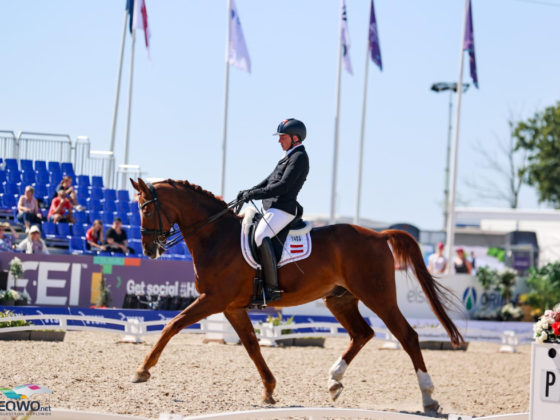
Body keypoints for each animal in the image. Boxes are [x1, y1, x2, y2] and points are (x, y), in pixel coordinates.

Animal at [129, 177, 462, 414]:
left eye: (146, 208)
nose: (148, 250)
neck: (217, 236)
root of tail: (379, 234)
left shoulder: (213, 300)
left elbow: (172, 325)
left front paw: (142, 370)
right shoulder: (232, 307)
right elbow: (252, 346)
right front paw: (269, 390)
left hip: (377, 296)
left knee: (407, 336)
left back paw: (428, 398)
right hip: (339, 299)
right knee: (362, 334)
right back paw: (334, 381)